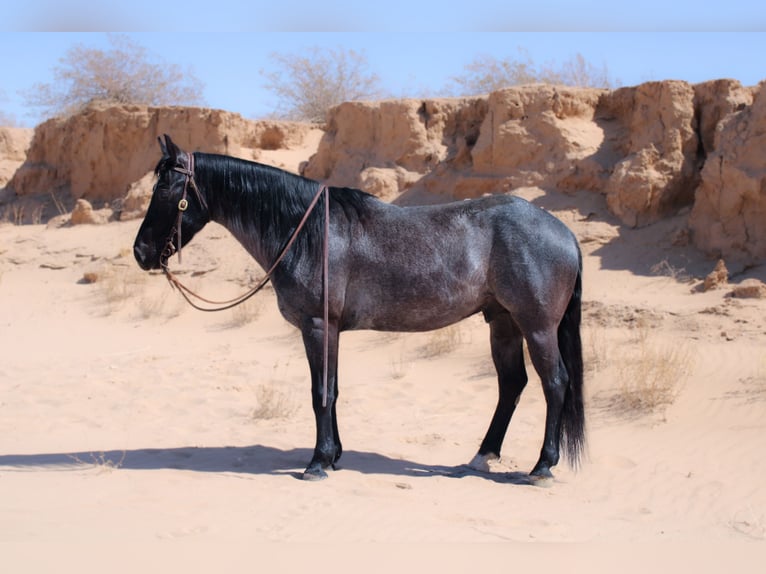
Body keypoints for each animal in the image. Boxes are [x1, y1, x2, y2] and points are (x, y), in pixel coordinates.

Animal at [135, 137, 584, 484]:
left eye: (165, 192)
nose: (141, 253)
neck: (307, 230)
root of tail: (562, 232)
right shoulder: (329, 330)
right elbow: (332, 390)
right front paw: (333, 456)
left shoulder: (317, 326)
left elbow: (320, 392)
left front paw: (317, 462)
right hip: (503, 323)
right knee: (512, 384)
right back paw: (481, 457)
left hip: (537, 326)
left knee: (555, 383)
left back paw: (542, 466)